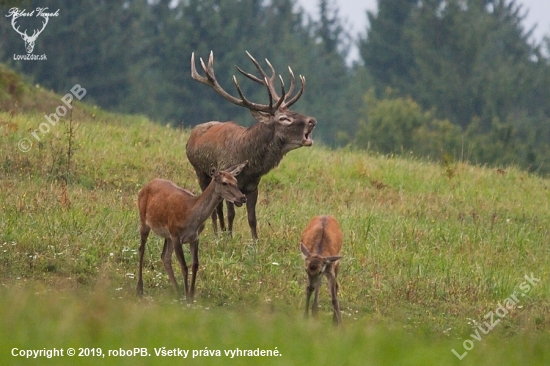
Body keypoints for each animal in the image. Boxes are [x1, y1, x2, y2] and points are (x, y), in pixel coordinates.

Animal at [137, 162, 249, 300]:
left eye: (236, 181)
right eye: (224, 183)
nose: (242, 198)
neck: (191, 215)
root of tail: (144, 187)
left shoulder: (194, 237)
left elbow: (195, 265)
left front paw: (190, 297)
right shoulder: (176, 235)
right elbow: (184, 266)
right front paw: (187, 297)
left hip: (168, 235)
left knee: (165, 256)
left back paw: (177, 291)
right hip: (144, 219)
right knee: (141, 249)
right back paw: (140, 288)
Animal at [188, 51, 316, 240]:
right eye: (284, 118)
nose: (312, 120)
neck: (249, 165)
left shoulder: (253, 186)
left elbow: (252, 219)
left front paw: (255, 242)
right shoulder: (226, 178)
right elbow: (231, 214)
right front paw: (229, 239)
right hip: (200, 172)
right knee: (214, 209)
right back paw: (218, 234)